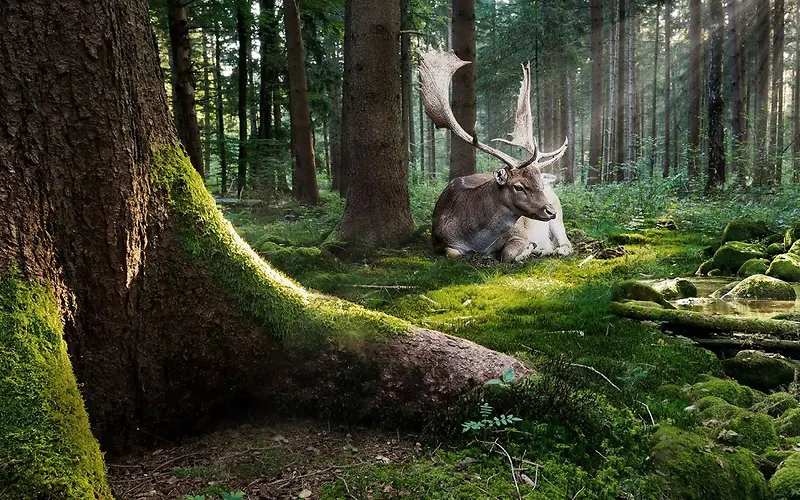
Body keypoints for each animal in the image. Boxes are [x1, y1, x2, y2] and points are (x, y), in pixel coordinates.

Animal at [418, 48, 568, 264]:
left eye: (540, 183)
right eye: (518, 186)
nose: (550, 211)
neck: (477, 240)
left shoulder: (519, 233)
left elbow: (507, 253)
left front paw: (526, 250)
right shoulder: (438, 240)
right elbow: (453, 253)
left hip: (559, 214)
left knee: (566, 242)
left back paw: (555, 249)